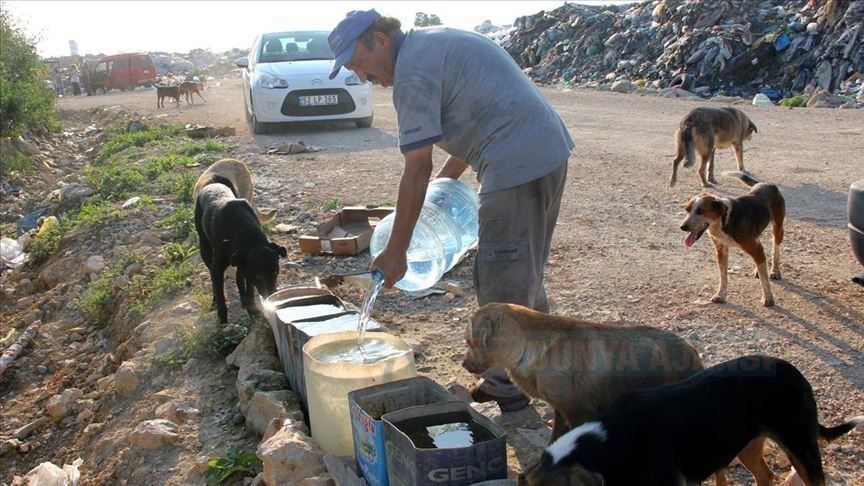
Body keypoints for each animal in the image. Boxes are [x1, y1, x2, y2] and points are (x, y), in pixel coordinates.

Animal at [466, 304, 768, 486]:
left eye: (470, 342)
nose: (464, 365)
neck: (533, 348)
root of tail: (692, 352)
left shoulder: (580, 414)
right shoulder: (562, 412)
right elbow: (552, 443)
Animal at [680, 172, 784, 308]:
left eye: (701, 211)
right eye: (687, 210)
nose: (683, 227)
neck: (722, 221)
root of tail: (767, 184)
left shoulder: (753, 247)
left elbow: (764, 280)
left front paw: (768, 298)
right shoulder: (721, 250)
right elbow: (723, 277)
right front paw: (720, 295)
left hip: (777, 228)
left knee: (775, 249)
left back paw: (774, 271)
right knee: (761, 255)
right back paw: (758, 269)